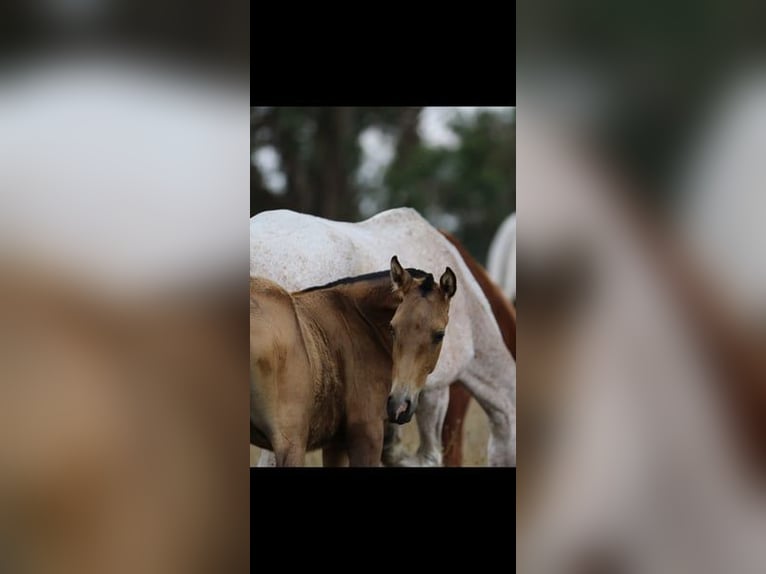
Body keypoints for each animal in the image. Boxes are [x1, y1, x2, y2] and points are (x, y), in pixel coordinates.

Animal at [252, 256, 456, 468]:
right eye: (393, 328)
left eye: (439, 335)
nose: (400, 405)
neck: (359, 318)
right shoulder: (367, 432)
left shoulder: (336, 443)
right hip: (291, 445)